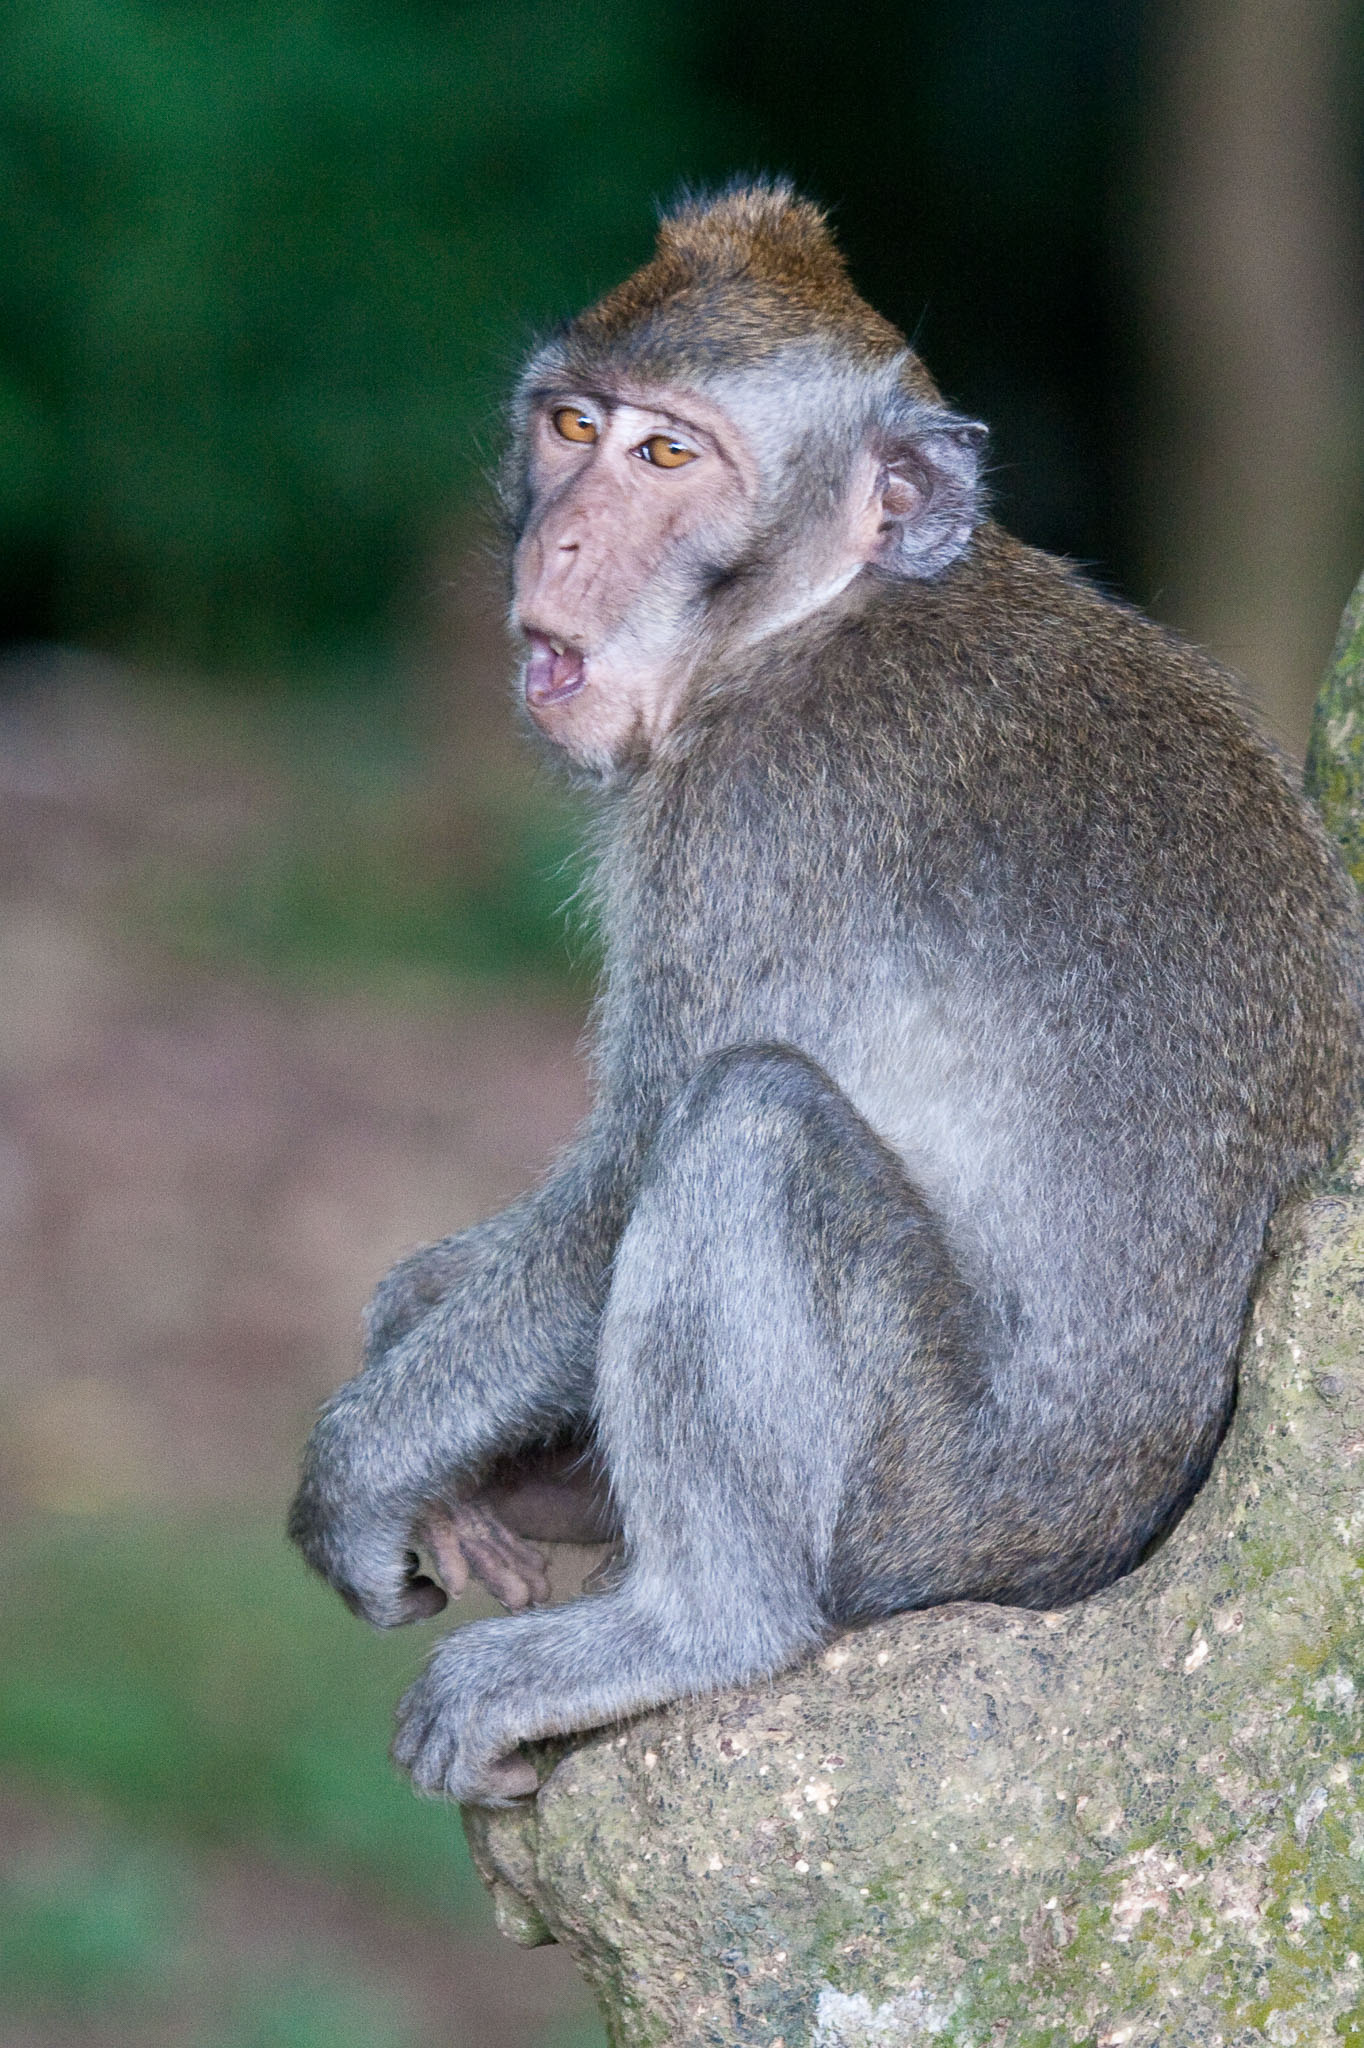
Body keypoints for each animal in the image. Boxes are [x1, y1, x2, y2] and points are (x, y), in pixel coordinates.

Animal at [289, 181, 1364, 1805]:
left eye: (669, 457)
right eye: (572, 425)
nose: (562, 543)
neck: (807, 615)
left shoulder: (752, 809)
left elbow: (624, 1182)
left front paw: (361, 1471)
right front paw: (411, 1326)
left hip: (934, 1504)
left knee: (752, 1125)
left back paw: (696, 1624)